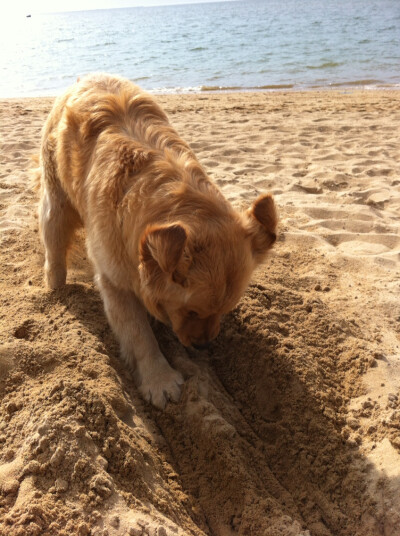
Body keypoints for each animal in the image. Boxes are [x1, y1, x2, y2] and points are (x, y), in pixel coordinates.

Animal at [36, 73, 276, 408]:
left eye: (225, 310)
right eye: (191, 312)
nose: (203, 347)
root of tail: (87, 77)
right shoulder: (115, 280)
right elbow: (138, 335)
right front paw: (159, 379)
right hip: (57, 203)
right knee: (54, 245)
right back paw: (56, 287)